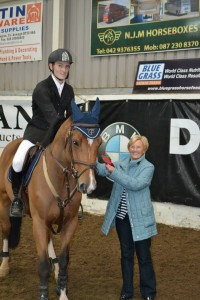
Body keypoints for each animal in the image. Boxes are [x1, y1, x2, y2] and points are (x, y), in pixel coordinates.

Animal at [0, 98, 101, 300]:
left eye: (100, 142)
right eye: (76, 142)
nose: (89, 185)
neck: (61, 178)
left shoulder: (69, 223)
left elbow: (63, 261)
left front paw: (62, 291)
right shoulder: (39, 222)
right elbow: (42, 265)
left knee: (48, 242)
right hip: (4, 201)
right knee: (6, 230)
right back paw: (4, 266)